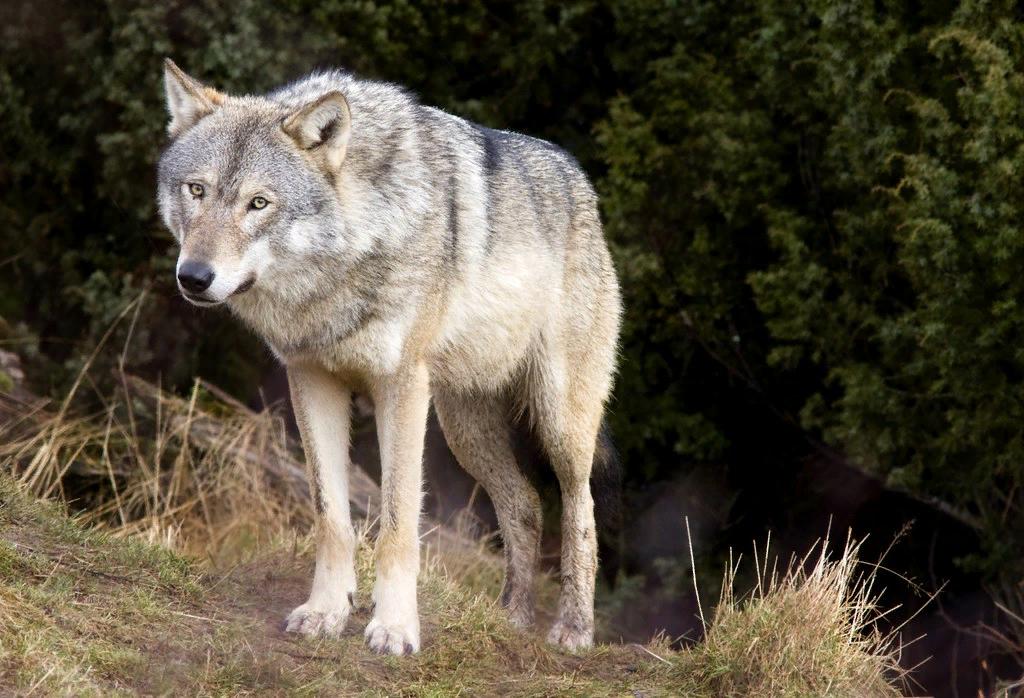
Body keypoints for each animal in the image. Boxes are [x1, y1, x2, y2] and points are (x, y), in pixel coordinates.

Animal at [157, 59, 622, 650]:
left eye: (259, 203)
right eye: (197, 190)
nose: (193, 277)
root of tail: (582, 184)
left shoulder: (398, 387)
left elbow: (398, 521)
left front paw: (395, 628)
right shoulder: (312, 379)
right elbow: (332, 516)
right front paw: (327, 612)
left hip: (557, 421)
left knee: (580, 508)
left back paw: (573, 629)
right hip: (465, 430)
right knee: (524, 504)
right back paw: (511, 620)